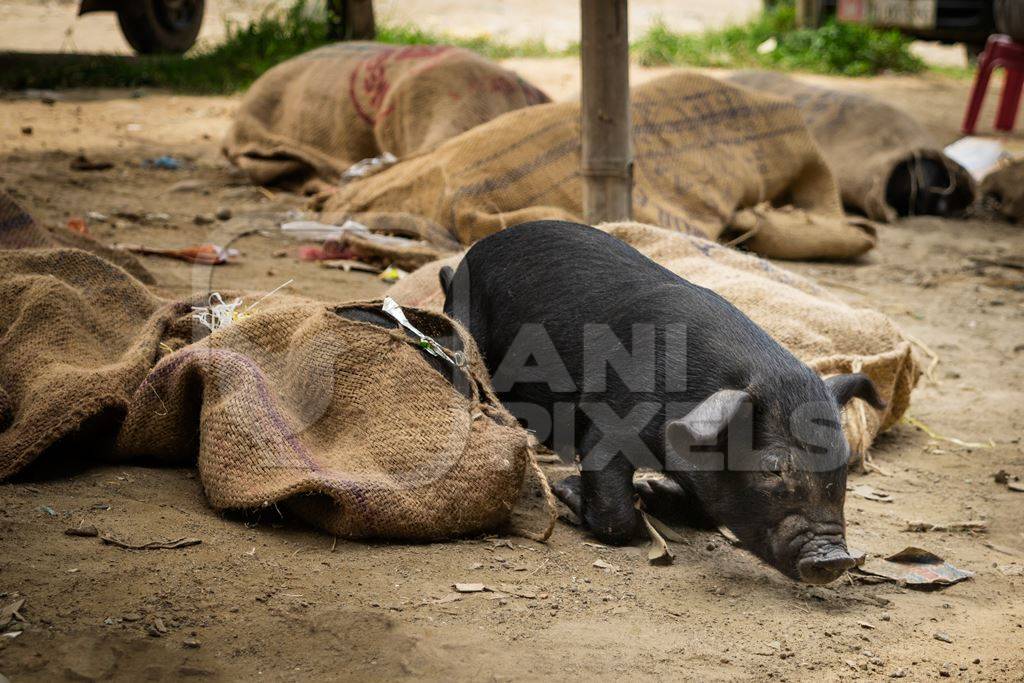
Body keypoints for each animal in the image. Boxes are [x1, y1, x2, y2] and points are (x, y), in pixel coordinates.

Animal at [436, 222, 884, 585]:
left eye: (843, 465)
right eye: (774, 468)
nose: (835, 559)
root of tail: (466, 259)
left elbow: (705, 511)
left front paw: (650, 491)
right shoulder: (611, 419)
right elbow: (615, 513)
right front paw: (569, 490)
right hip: (466, 325)